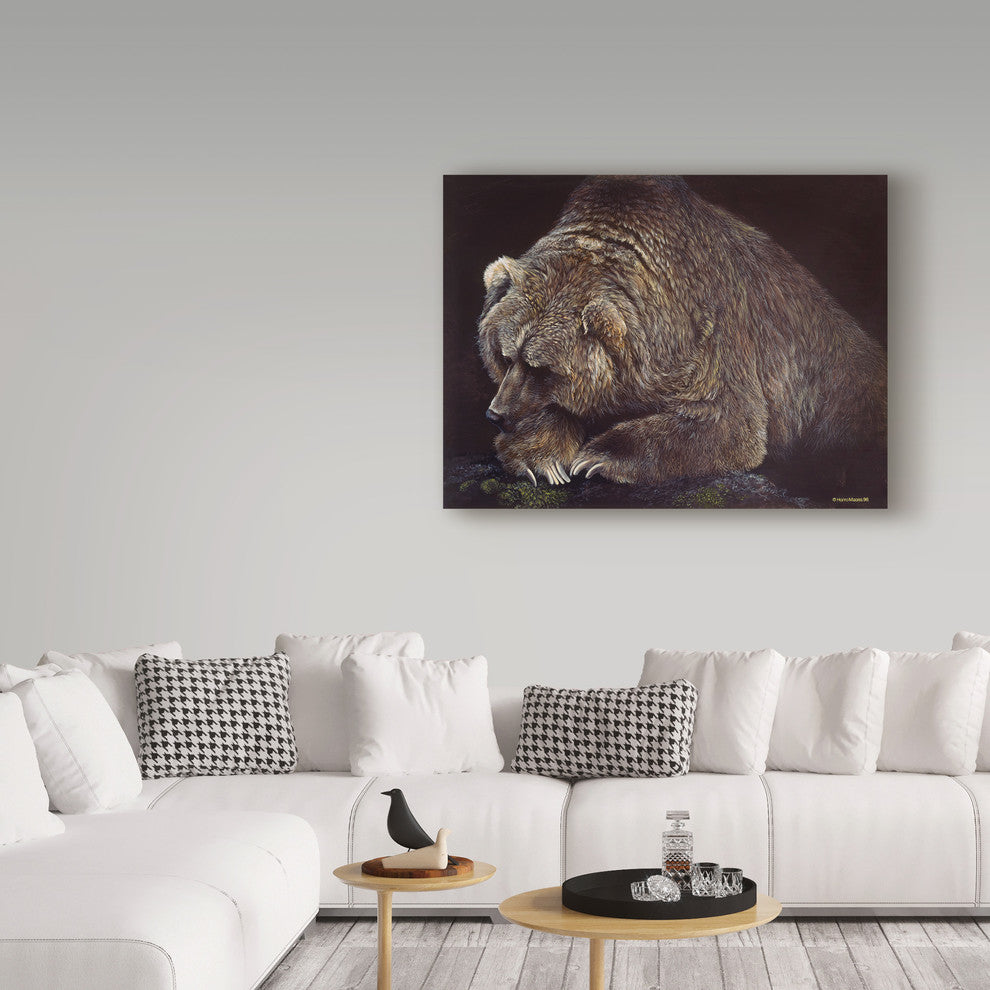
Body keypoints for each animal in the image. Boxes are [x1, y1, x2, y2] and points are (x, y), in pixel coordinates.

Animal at [476, 176, 887, 496]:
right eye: (506, 356)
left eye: (542, 367)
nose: (495, 414)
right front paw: (543, 459)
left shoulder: (711, 334)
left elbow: (727, 420)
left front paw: (596, 457)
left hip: (844, 392)